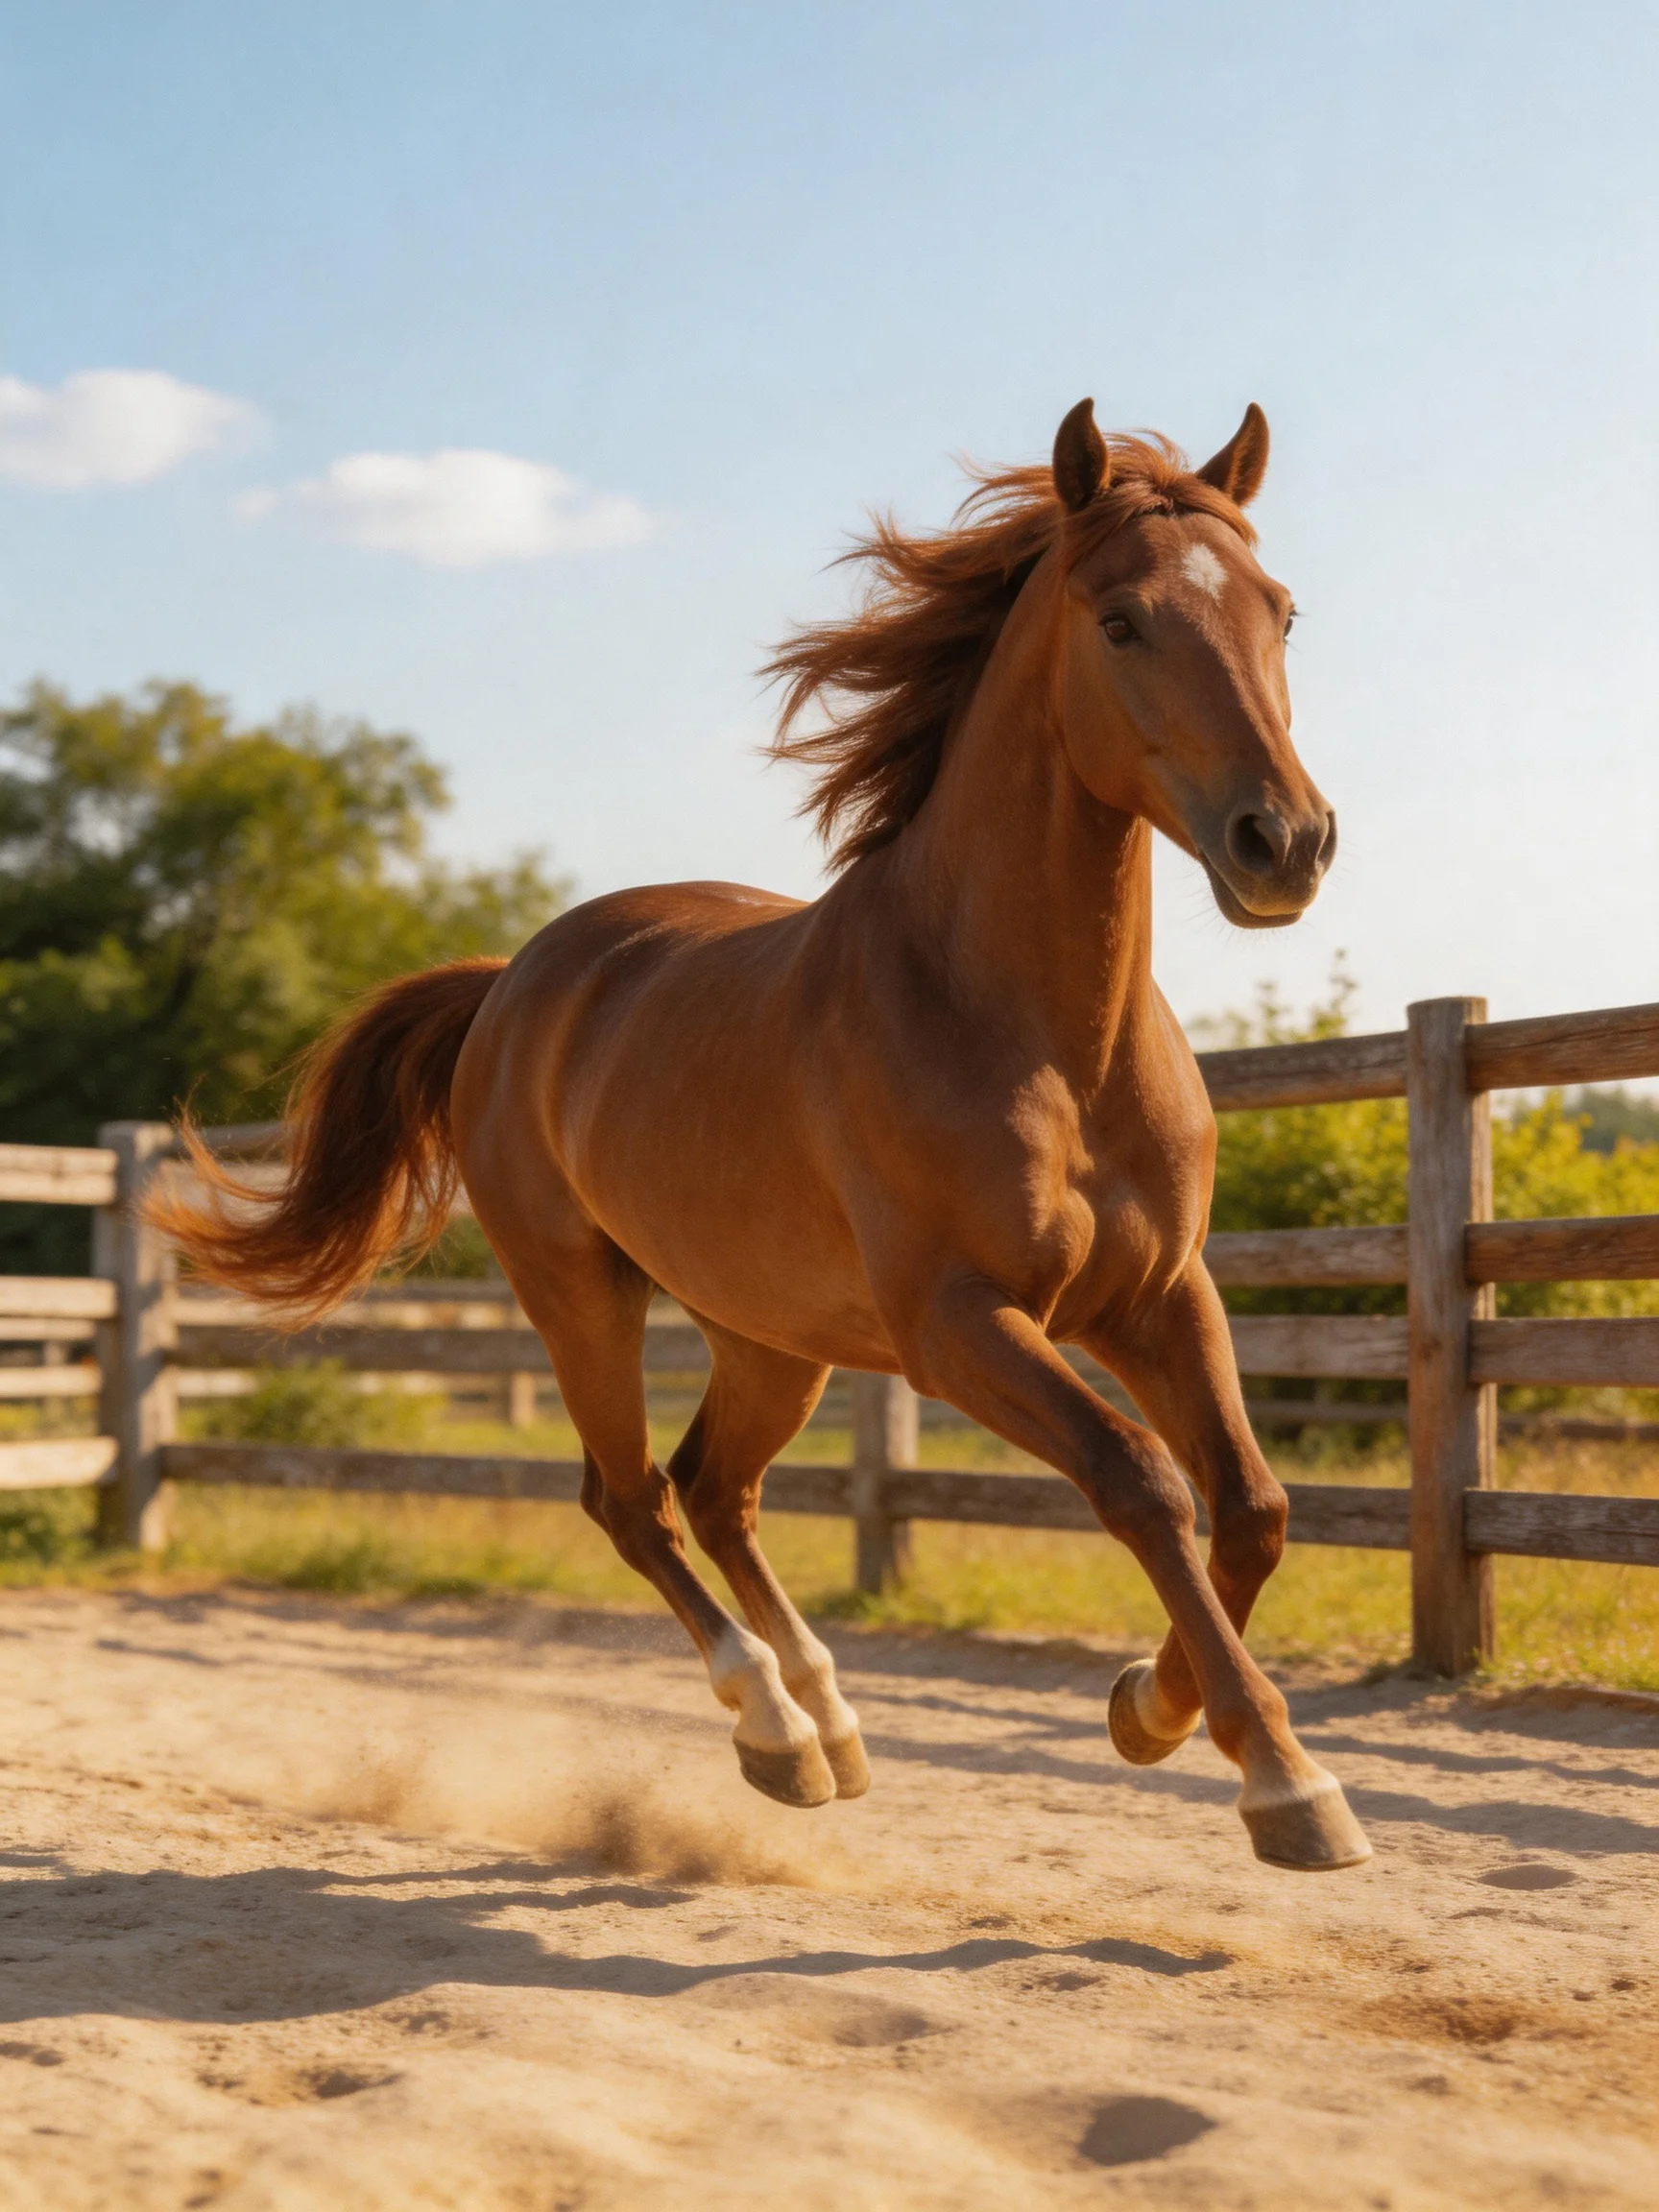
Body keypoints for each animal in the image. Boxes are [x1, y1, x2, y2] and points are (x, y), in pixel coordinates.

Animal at [160, 398, 1371, 1873]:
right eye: (1123, 620)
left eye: (1281, 610)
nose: (1284, 843)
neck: (1037, 1034)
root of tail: (511, 983)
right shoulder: (959, 1324)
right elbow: (1143, 1480)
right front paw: (1285, 1786)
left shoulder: (1158, 1294)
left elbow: (1251, 1506)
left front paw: (1151, 1706)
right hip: (583, 1299)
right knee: (632, 1499)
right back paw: (778, 1734)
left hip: (770, 1333)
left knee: (714, 1488)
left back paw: (833, 1721)